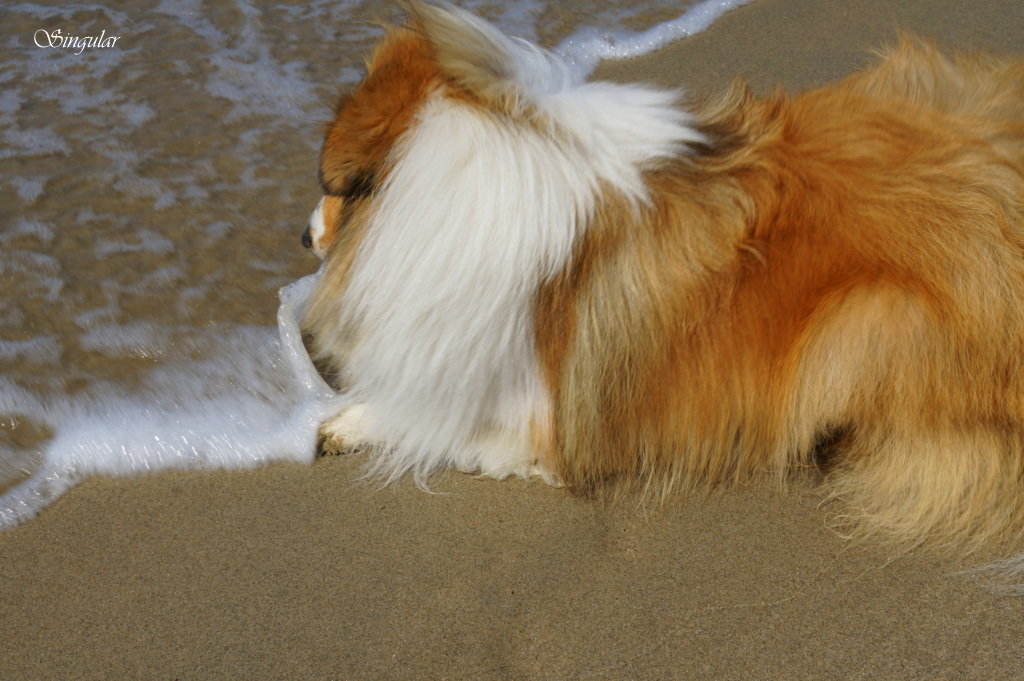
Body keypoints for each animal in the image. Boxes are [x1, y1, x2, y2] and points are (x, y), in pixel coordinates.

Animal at [299, 1, 1024, 552]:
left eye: (330, 189)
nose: (302, 235)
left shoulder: (540, 414)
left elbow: (440, 418)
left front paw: (355, 420)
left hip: (867, 320)